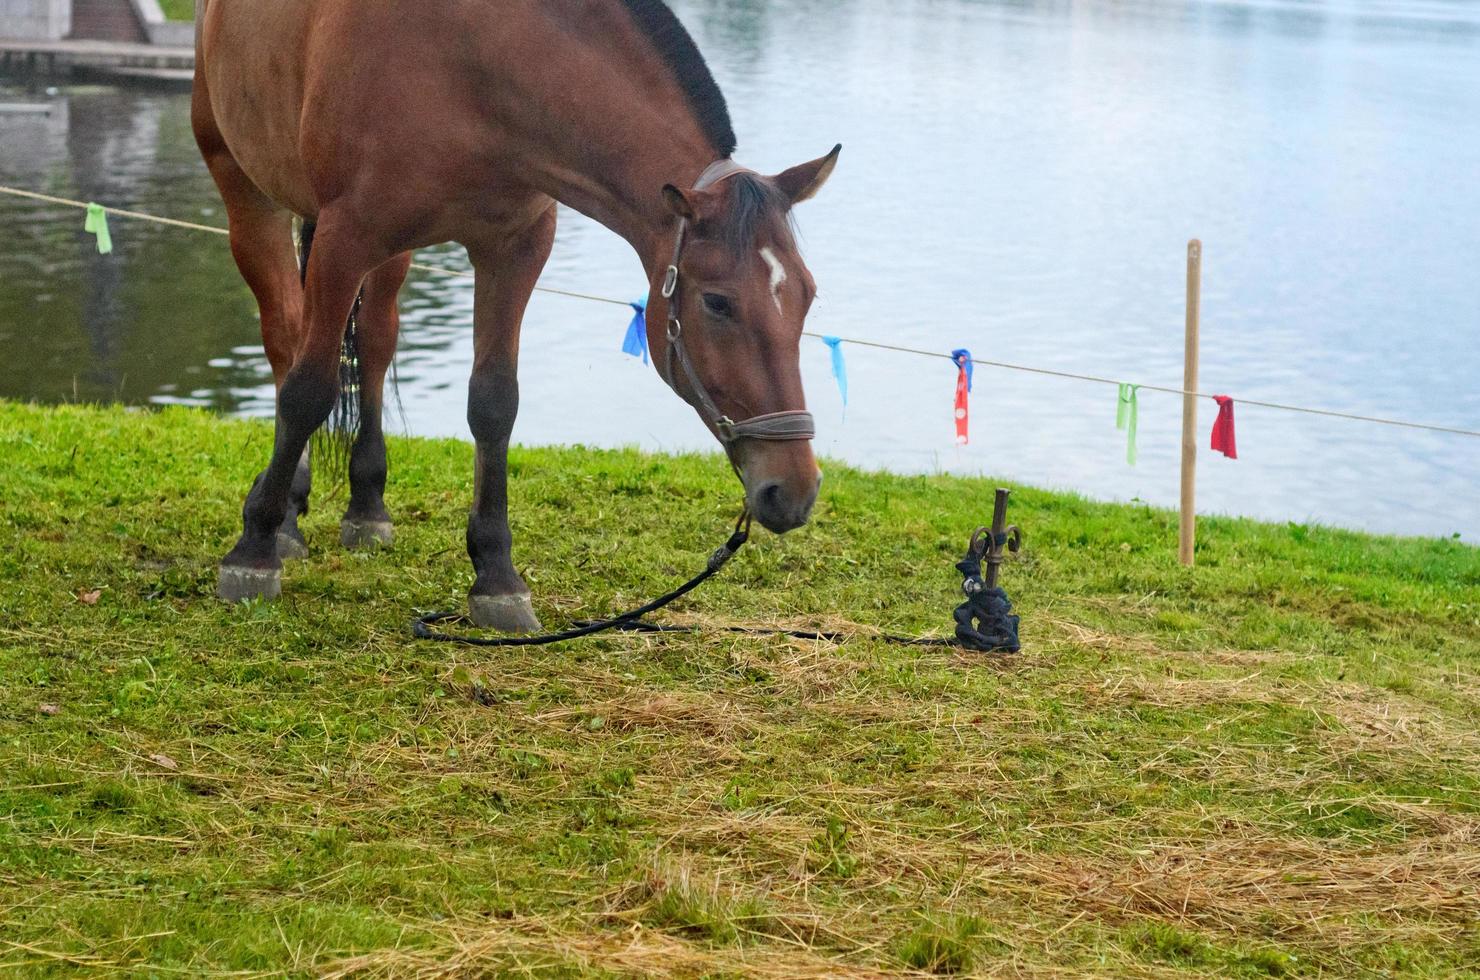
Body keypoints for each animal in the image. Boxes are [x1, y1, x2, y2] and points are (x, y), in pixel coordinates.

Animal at [195, 0, 840, 630]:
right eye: (717, 302)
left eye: (807, 295)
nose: (795, 489)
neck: (469, 63)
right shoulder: (343, 239)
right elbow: (308, 389)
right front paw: (253, 549)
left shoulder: (515, 249)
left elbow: (494, 402)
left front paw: (496, 576)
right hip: (248, 191)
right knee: (286, 338)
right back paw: (283, 518)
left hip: (392, 255)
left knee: (376, 343)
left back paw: (367, 504)